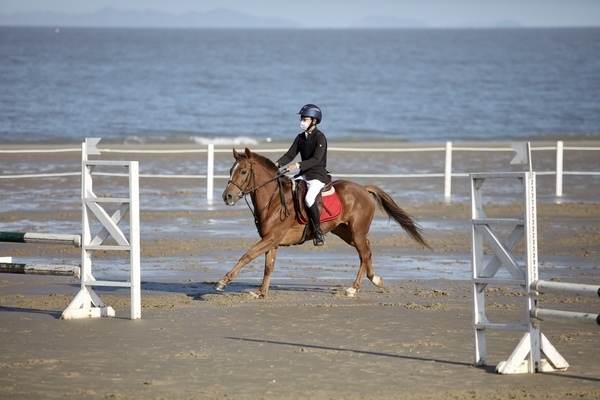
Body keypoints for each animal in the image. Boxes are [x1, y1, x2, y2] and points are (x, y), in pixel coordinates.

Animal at [216, 147, 432, 296]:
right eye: (231, 170)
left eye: (243, 172)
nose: (227, 197)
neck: (274, 199)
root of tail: (363, 188)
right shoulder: (272, 240)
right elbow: (268, 266)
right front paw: (261, 292)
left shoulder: (271, 238)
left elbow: (246, 256)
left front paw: (222, 282)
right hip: (345, 232)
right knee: (366, 251)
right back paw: (375, 279)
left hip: (356, 232)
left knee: (364, 253)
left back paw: (354, 288)